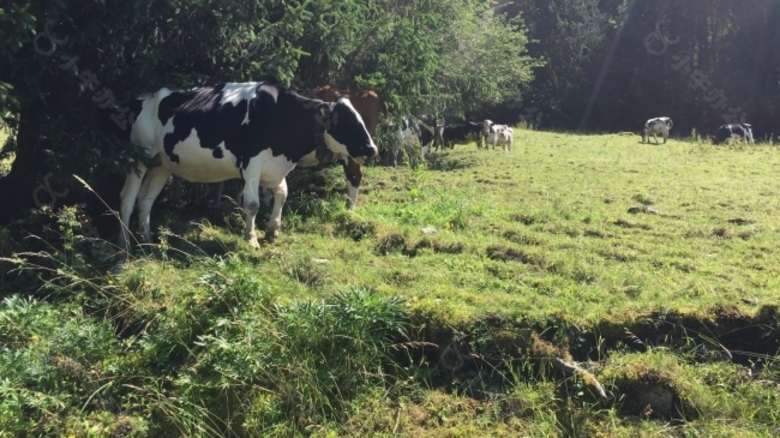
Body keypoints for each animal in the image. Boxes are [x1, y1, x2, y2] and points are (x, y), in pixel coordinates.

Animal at [117, 80, 380, 248]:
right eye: (344, 120)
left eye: (360, 118)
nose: (372, 148)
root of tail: (144, 99)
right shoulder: (251, 163)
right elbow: (252, 204)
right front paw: (251, 238)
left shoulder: (275, 166)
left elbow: (282, 193)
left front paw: (273, 230)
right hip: (139, 159)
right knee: (128, 199)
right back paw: (125, 244)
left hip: (162, 165)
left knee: (146, 200)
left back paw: (147, 240)